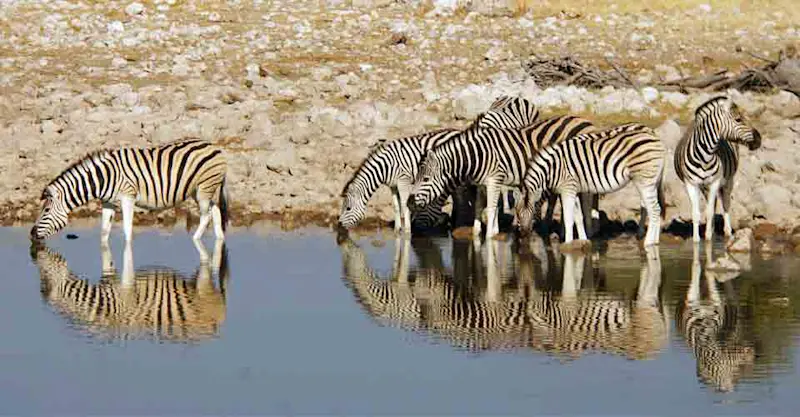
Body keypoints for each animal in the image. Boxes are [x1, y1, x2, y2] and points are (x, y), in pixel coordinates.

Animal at [30, 138, 228, 244]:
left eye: (45, 210)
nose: (31, 234)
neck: (104, 177)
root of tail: (214, 146)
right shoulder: (107, 202)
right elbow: (104, 231)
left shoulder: (128, 197)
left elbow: (127, 230)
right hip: (202, 190)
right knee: (216, 211)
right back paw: (219, 240)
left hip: (204, 188)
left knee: (206, 216)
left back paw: (195, 239)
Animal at [338, 96, 539, 233]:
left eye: (347, 208)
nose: (339, 226)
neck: (386, 166)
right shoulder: (393, 185)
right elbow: (396, 206)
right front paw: (397, 229)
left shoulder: (403, 180)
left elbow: (403, 205)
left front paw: (405, 231)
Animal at [410, 114, 598, 240]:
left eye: (425, 180)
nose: (414, 229)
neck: (477, 156)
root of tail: (585, 121)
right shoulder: (482, 184)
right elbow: (480, 207)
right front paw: (478, 233)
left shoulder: (495, 179)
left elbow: (492, 208)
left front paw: (491, 235)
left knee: (587, 200)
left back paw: (588, 232)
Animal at [514, 123, 667, 246]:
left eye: (519, 213)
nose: (522, 236)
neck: (552, 170)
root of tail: (655, 137)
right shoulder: (575, 189)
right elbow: (578, 217)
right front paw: (583, 239)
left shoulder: (568, 188)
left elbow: (569, 217)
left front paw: (567, 242)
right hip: (652, 181)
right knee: (651, 208)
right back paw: (652, 239)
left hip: (644, 180)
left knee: (654, 209)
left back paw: (649, 242)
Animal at [673, 96, 762, 242]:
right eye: (738, 119)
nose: (759, 139)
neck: (704, 156)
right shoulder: (691, 184)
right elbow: (696, 213)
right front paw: (697, 240)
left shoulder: (715, 182)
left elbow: (709, 212)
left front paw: (709, 239)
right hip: (704, 187)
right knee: (714, 204)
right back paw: (713, 229)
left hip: (728, 181)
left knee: (725, 204)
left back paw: (727, 232)